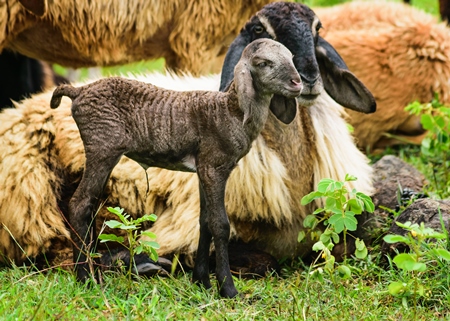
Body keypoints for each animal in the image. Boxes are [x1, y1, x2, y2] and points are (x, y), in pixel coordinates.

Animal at [48, 38, 302, 298]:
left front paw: (202, 281)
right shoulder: (215, 167)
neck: (229, 110)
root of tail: (79, 91)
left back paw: (93, 274)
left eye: (292, 57)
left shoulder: (202, 169)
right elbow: (220, 224)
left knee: (89, 206)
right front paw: (228, 289)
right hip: (102, 149)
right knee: (80, 205)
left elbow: (204, 221)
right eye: (263, 63)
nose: (297, 83)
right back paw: (86, 279)